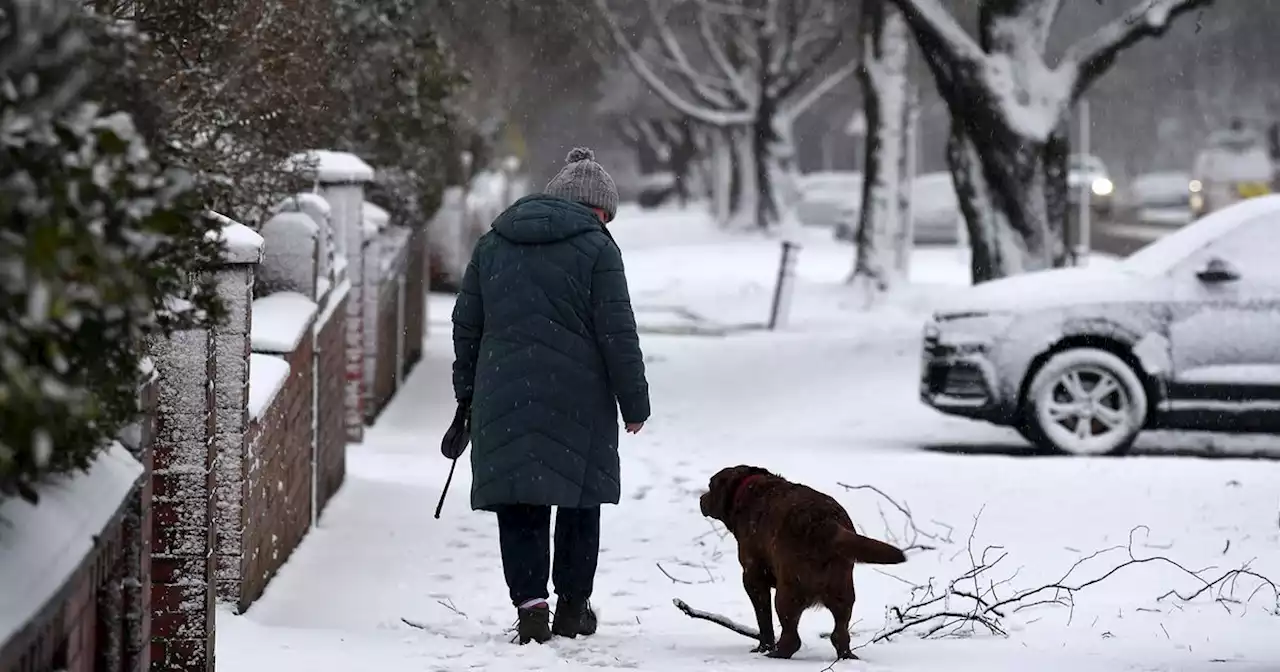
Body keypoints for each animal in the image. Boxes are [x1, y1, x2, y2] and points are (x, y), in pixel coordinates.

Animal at [701, 463, 911, 655]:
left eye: (710, 486)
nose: (701, 498)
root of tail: (825, 523)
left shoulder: (753, 577)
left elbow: (764, 621)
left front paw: (762, 648)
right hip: (843, 592)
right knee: (840, 634)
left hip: (787, 592)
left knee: (792, 637)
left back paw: (774, 655)